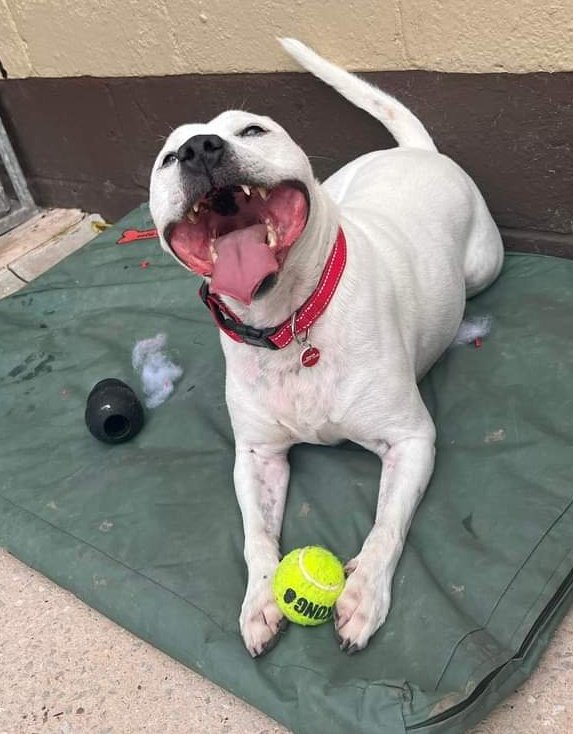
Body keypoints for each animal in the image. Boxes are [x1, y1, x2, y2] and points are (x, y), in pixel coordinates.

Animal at [150, 40, 502, 660]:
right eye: (169, 157)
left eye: (253, 129)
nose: (199, 149)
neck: (289, 324)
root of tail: (417, 151)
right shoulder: (256, 456)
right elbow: (256, 536)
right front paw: (260, 598)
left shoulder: (411, 439)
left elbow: (388, 525)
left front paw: (362, 594)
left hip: (484, 267)